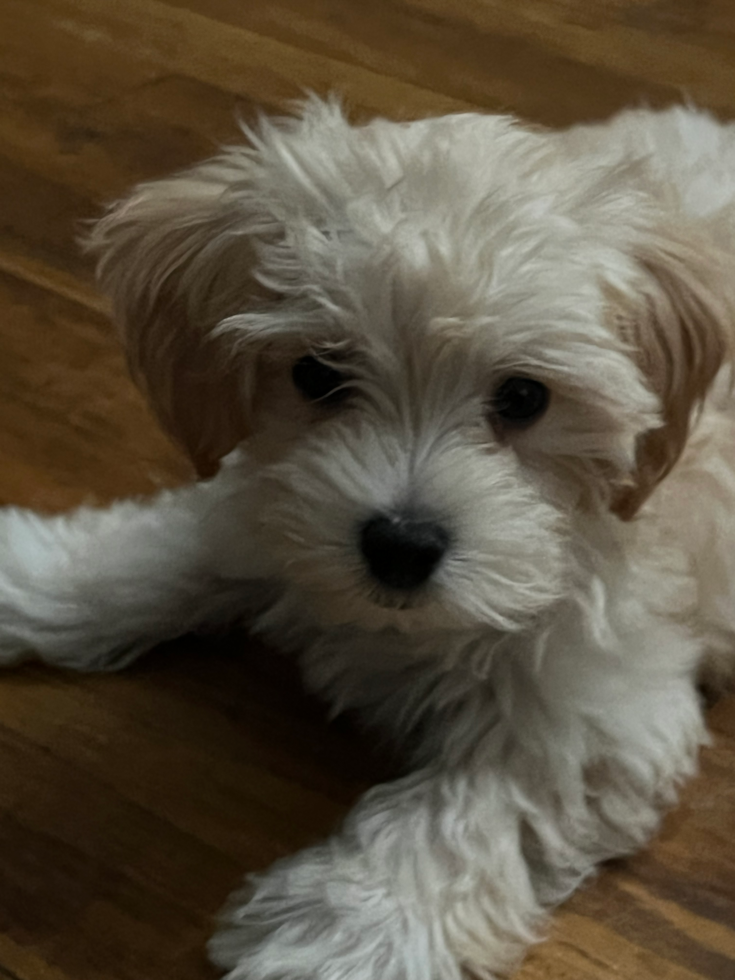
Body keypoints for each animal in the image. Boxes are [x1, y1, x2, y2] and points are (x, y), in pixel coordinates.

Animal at [1, 94, 735, 980]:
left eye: (523, 398)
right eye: (317, 374)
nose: (400, 545)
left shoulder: (592, 716)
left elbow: (459, 818)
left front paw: (343, 928)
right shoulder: (272, 505)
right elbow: (167, 551)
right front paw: (33, 575)